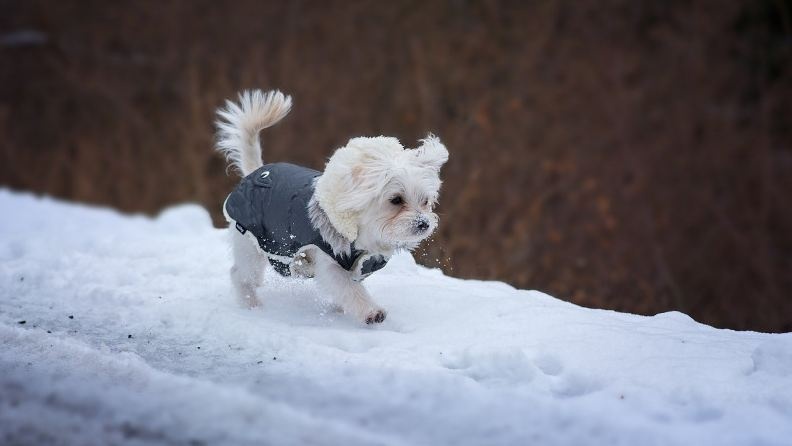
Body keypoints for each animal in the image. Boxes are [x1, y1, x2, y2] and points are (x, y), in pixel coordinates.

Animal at [213, 89, 448, 324]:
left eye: (425, 201)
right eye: (396, 200)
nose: (424, 224)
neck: (363, 234)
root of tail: (256, 172)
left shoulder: (358, 266)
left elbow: (347, 291)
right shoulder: (330, 262)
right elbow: (349, 289)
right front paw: (371, 311)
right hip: (251, 244)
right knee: (240, 275)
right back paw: (251, 304)